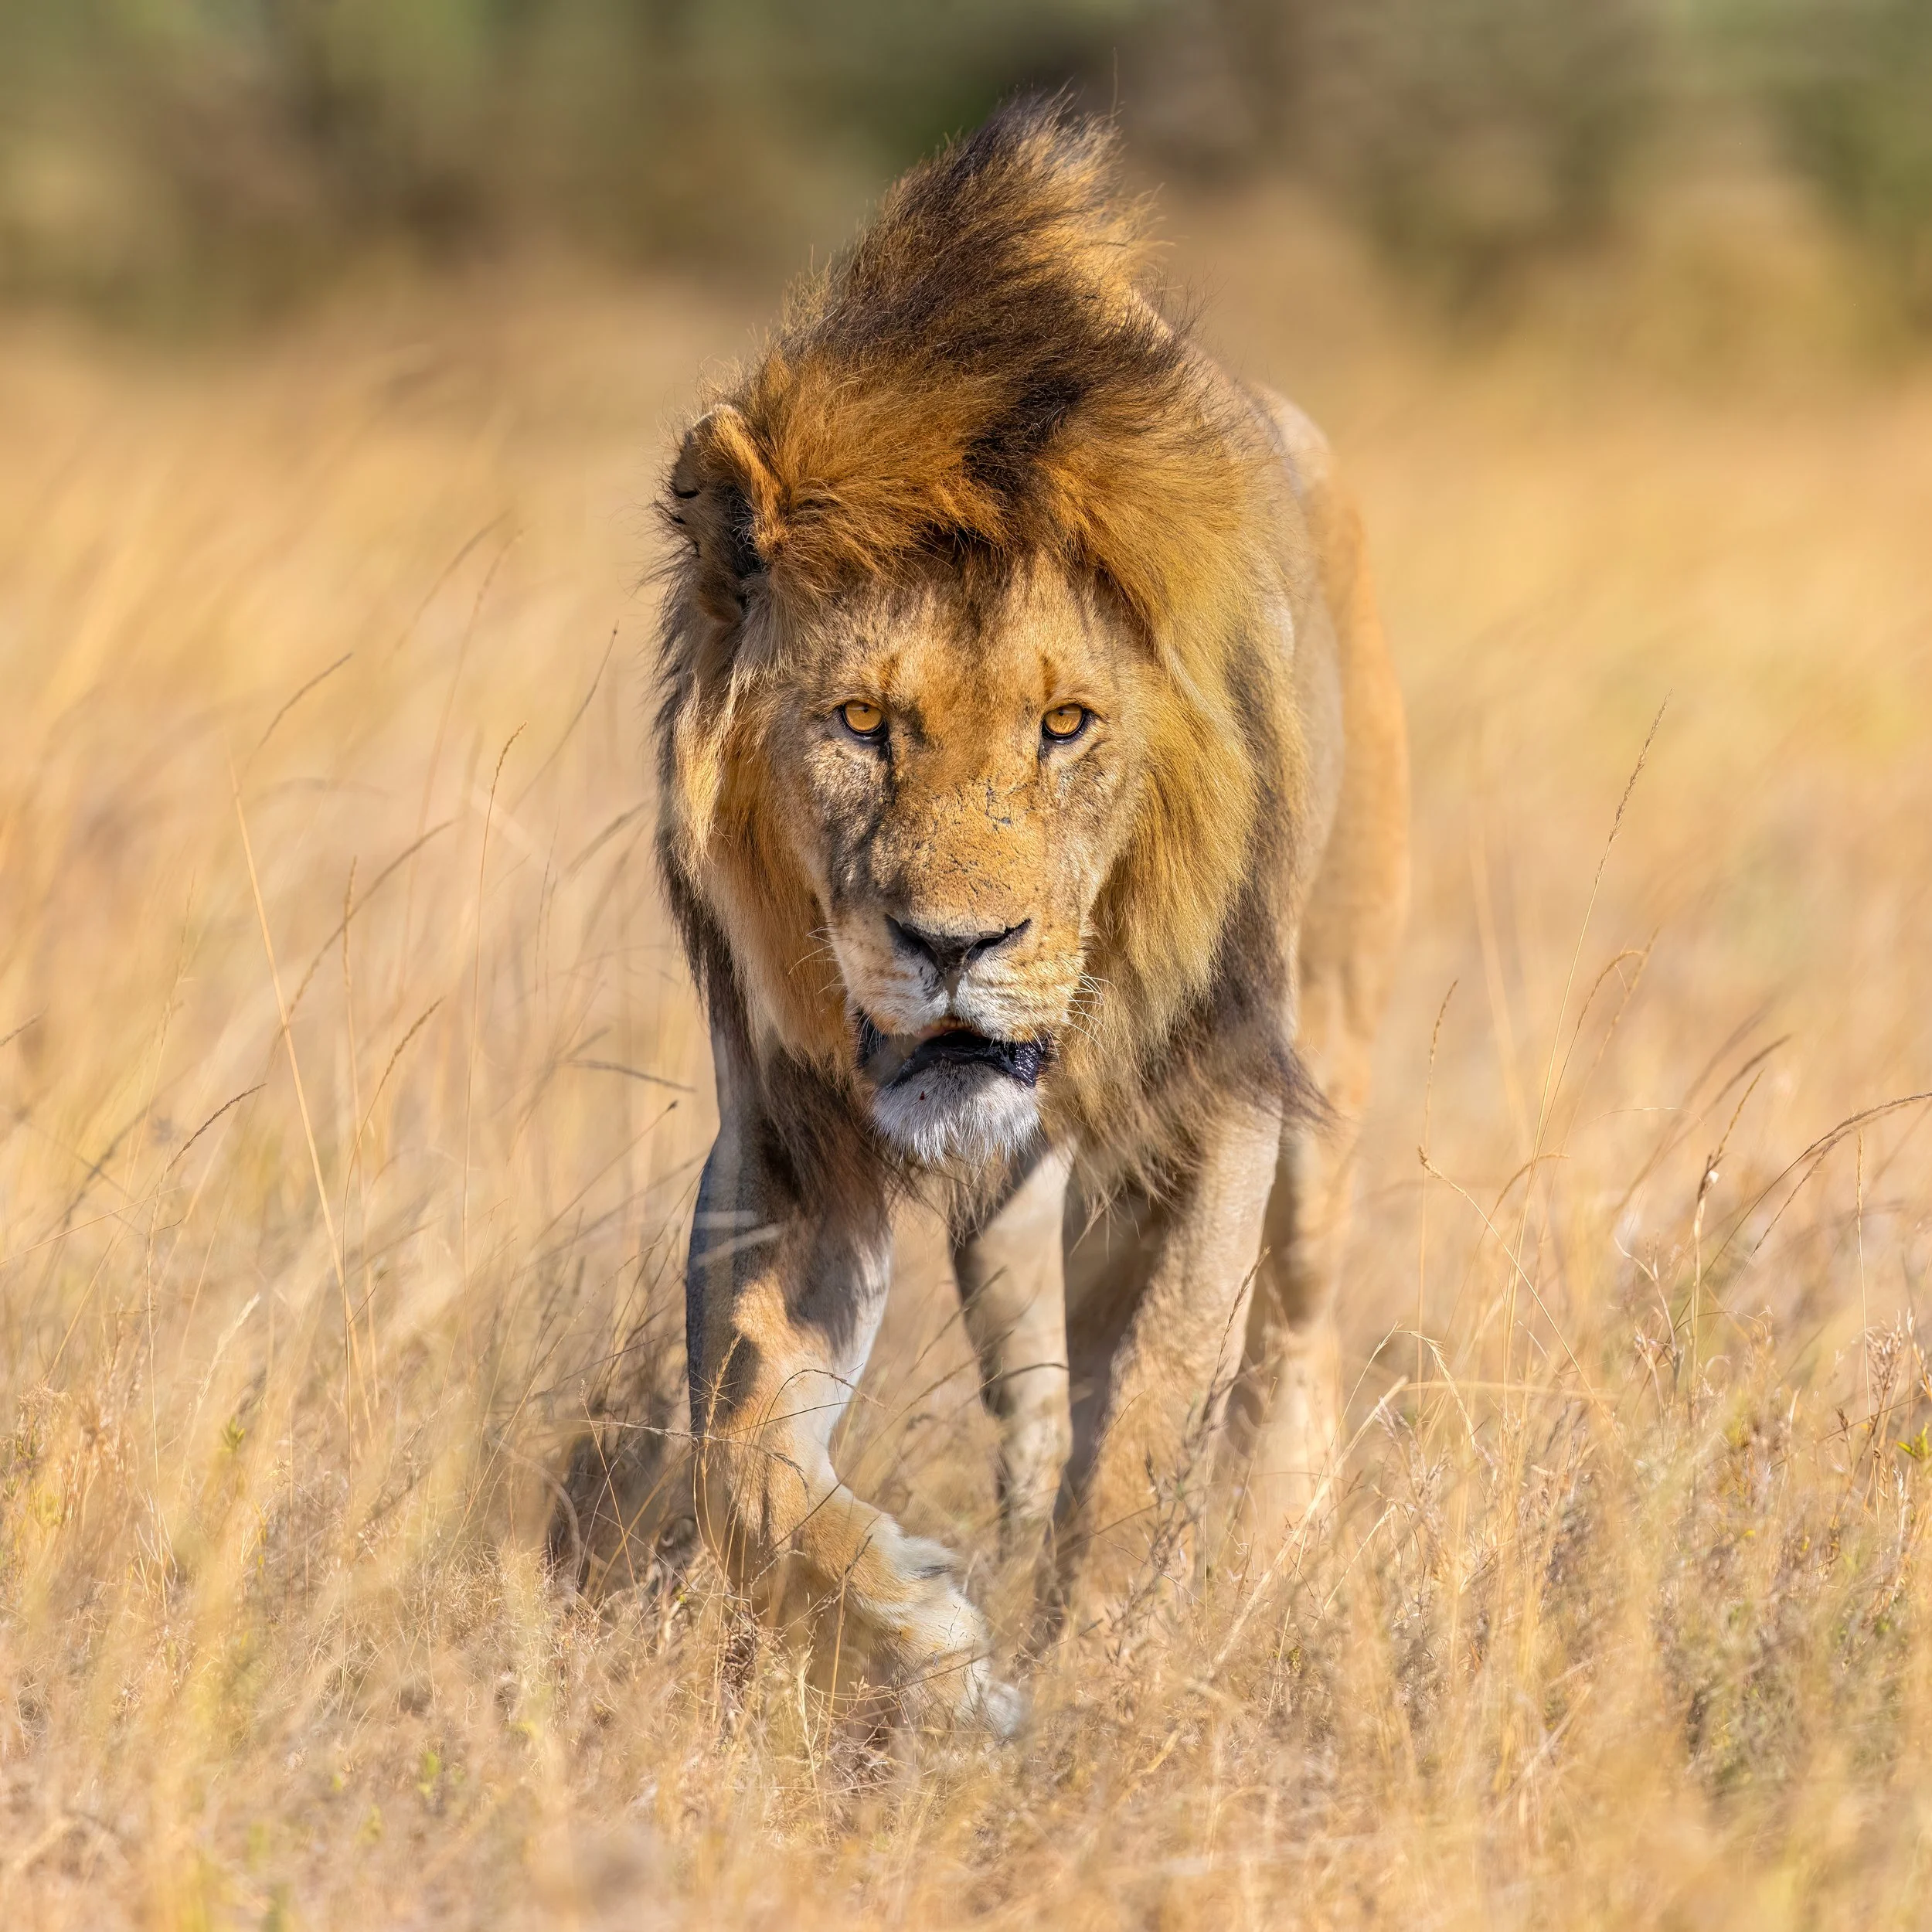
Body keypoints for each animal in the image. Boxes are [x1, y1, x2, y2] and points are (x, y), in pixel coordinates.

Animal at [582, 101, 1407, 1731]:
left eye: (1066, 726)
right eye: (861, 723)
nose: (954, 948)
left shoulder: (1216, 1102)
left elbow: (1151, 1412)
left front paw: (1103, 1682)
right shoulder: (790, 1123)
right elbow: (738, 1438)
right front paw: (916, 1640)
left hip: (1330, 1051)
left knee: (1288, 1338)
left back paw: (1269, 1556)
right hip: (1015, 1201)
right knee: (1034, 1382)